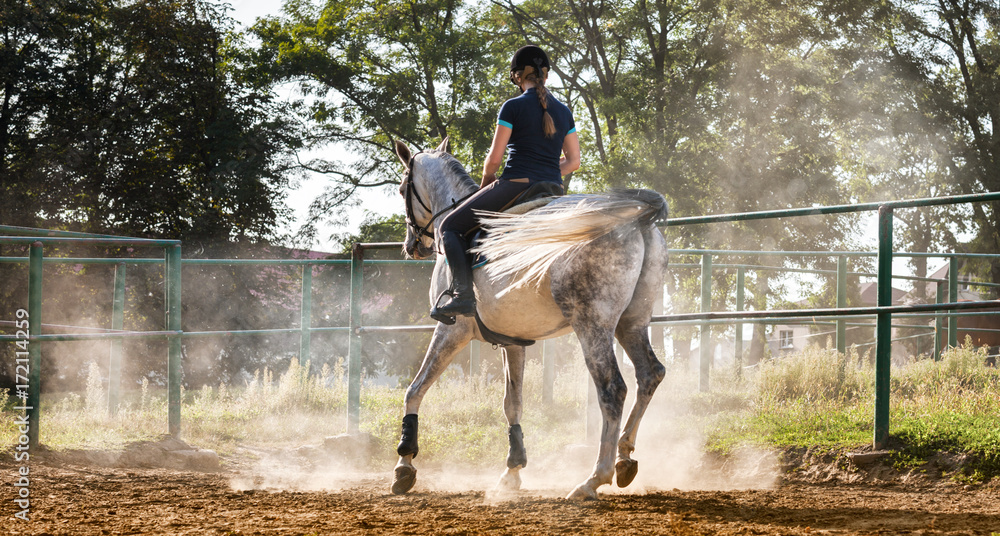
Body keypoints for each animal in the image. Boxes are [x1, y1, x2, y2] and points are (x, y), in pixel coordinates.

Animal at [394, 137, 668, 498]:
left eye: (402, 189)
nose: (412, 245)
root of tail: (632, 221)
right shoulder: (513, 342)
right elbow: (513, 403)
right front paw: (512, 470)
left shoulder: (451, 331)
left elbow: (415, 389)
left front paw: (405, 462)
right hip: (631, 323)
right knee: (649, 375)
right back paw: (624, 457)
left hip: (592, 324)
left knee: (612, 389)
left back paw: (594, 478)